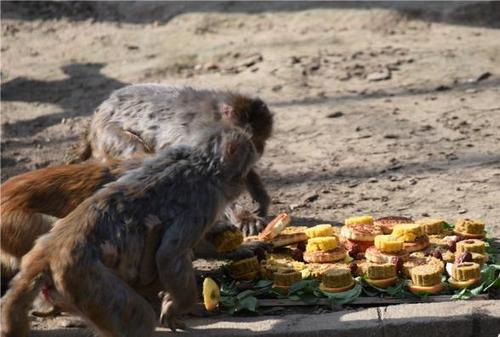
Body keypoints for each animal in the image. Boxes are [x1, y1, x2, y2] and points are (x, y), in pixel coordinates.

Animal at [0, 124, 258, 336]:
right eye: (245, 169)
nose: (245, 183)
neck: (199, 160)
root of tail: (47, 253)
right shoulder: (204, 200)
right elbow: (170, 254)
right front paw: (177, 305)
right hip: (83, 279)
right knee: (138, 319)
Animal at [71, 84, 274, 236]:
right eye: (251, 140)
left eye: (260, 141)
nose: (258, 152)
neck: (215, 118)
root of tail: (97, 113)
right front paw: (244, 217)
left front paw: (260, 200)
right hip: (107, 132)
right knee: (137, 151)